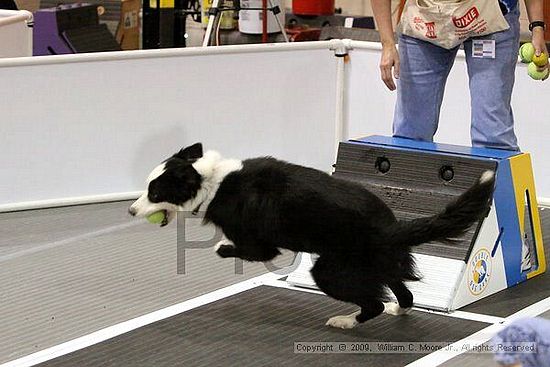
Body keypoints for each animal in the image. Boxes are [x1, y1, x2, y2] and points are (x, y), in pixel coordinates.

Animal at [129, 142, 496, 330]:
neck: (212, 181)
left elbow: (241, 249)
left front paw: (221, 247)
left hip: (330, 271)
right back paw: (398, 311)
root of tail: (389, 226)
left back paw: (346, 321)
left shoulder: (262, 246)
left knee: (374, 302)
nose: (131, 211)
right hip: (381, 263)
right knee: (402, 293)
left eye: (154, 192)